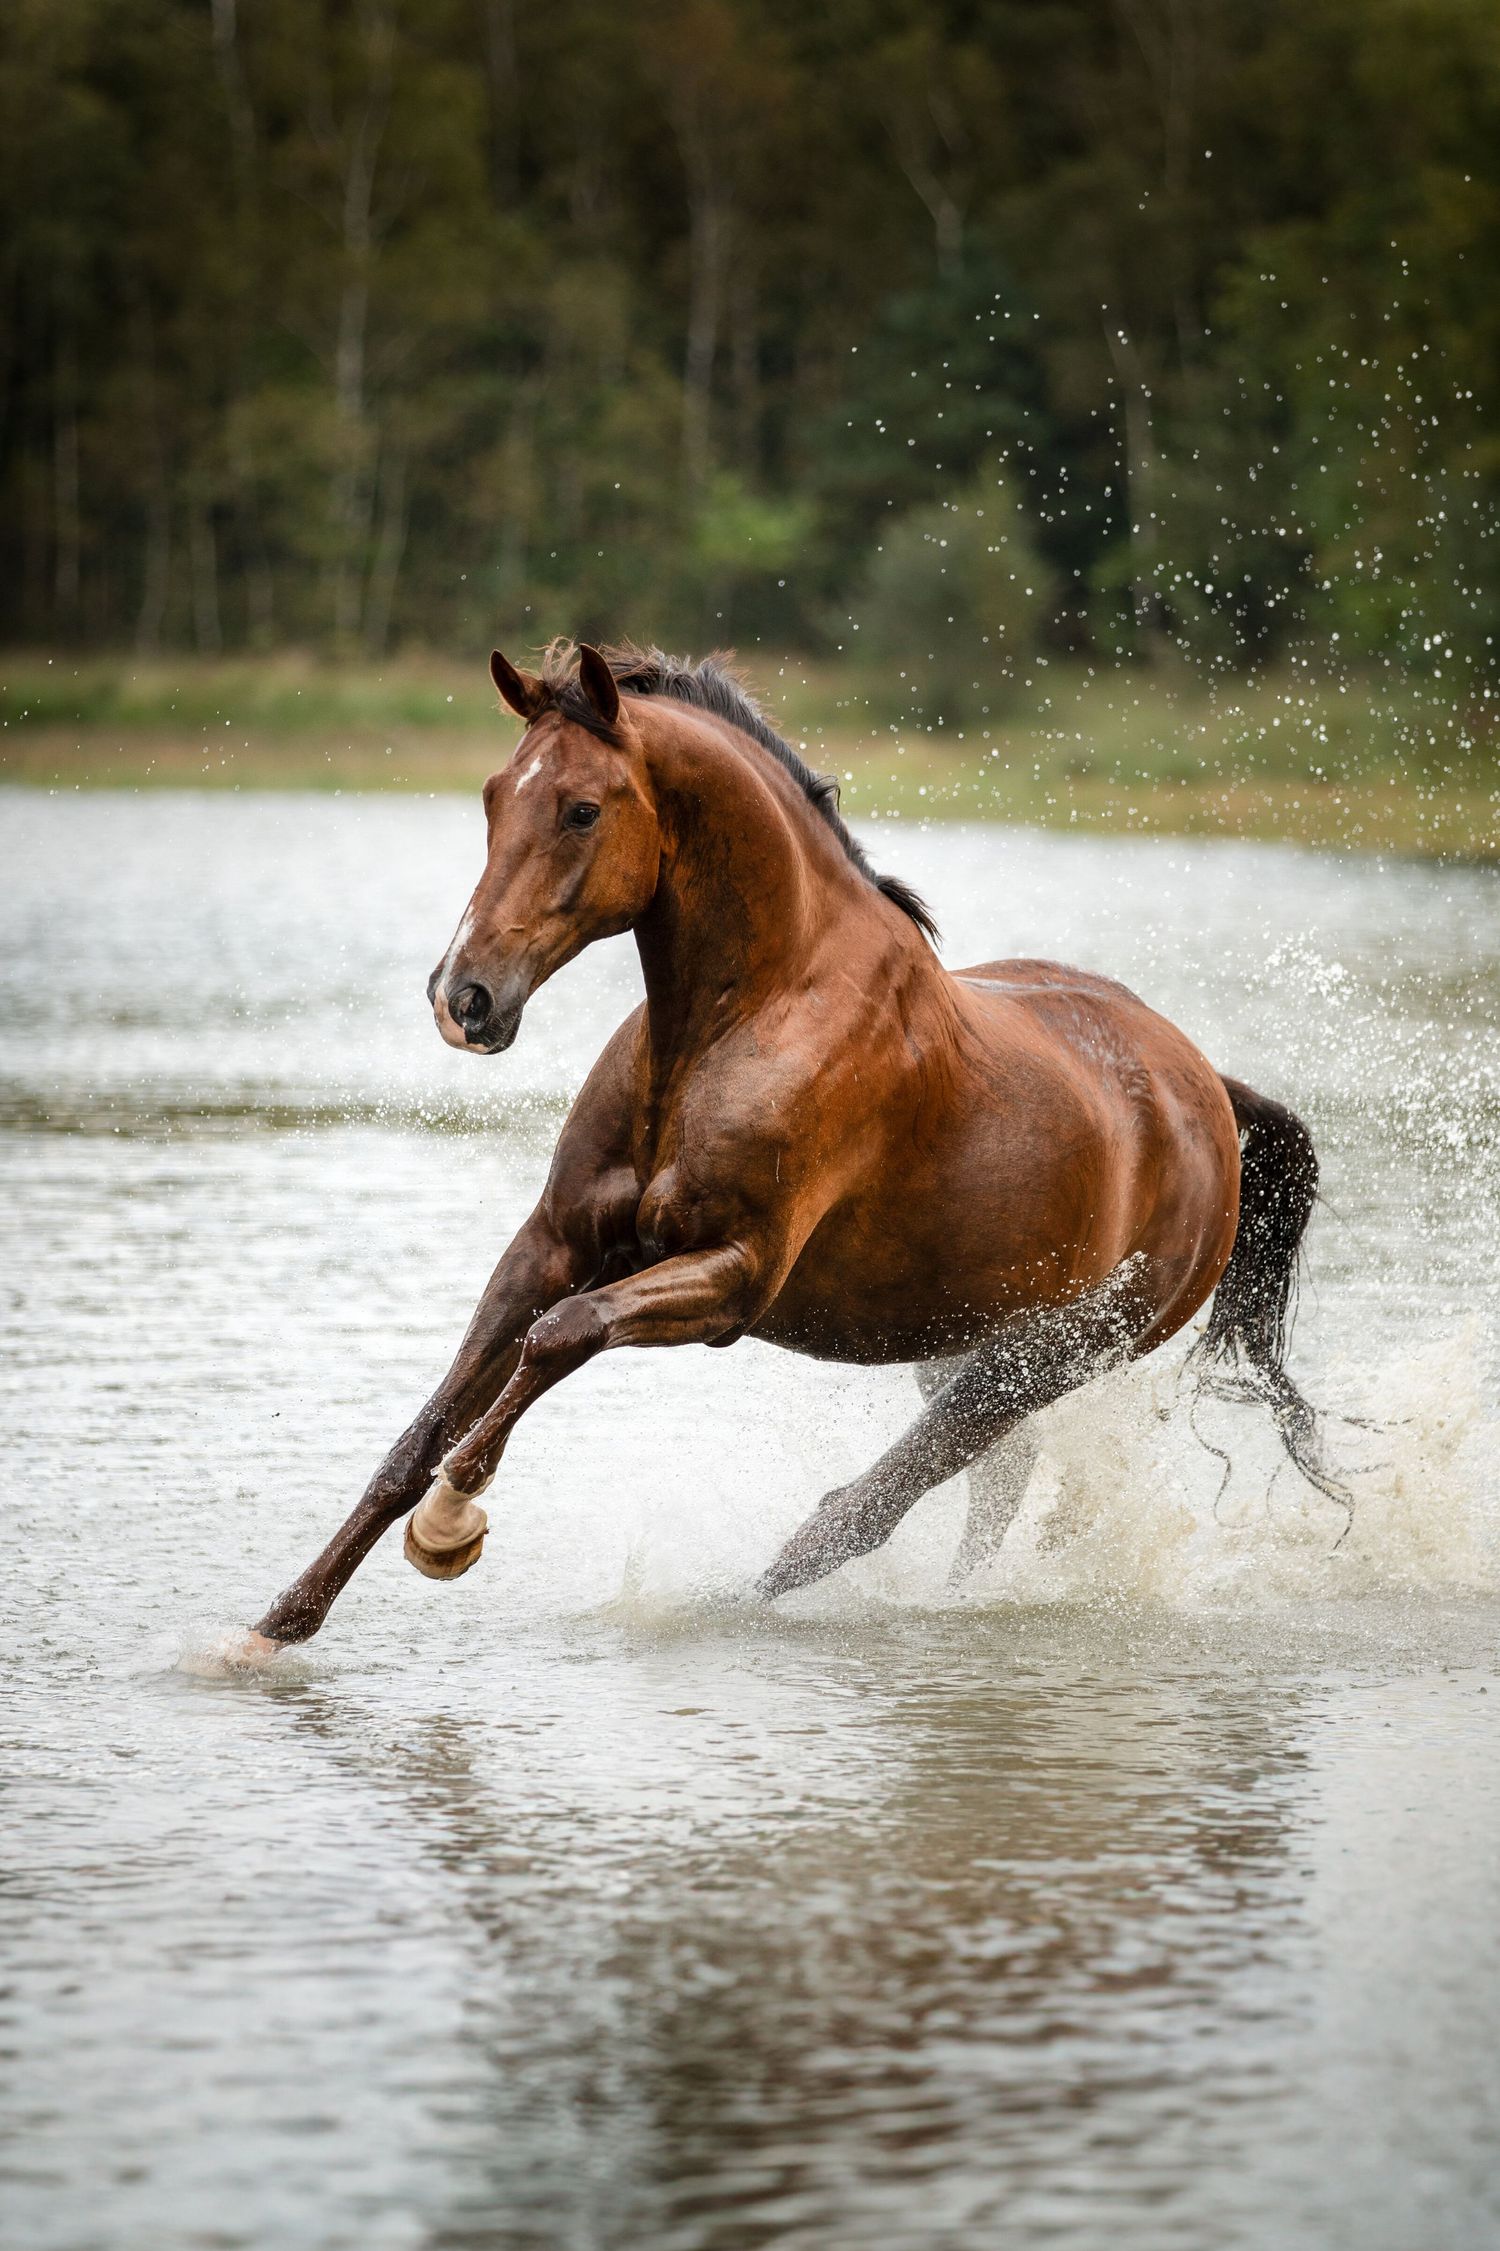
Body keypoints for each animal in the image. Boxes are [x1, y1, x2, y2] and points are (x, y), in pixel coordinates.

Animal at [246, 640, 1329, 1652]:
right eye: (491, 798)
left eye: (582, 810)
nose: (463, 997)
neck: (745, 1018)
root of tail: (1209, 1094)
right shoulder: (552, 1243)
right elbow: (418, 1434)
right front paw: (275, 1625)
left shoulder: (734, 1275)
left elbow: (561, 1338)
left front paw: (450, 1524)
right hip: (967, 1346)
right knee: (981, 1489)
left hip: (1044, 1359)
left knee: (862, 1511)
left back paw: (718, 1608)